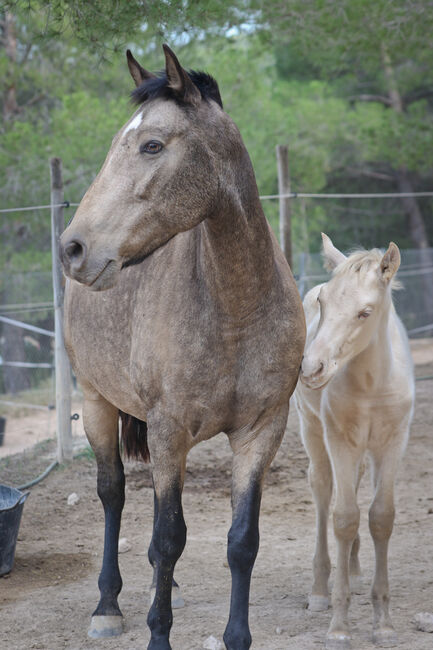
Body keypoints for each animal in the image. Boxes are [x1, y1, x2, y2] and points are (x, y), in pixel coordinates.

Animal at [60, 45, 304, 648]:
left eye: (152, 144)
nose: (73, 248)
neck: (235, 309)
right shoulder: (169, 430)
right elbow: (169, 537)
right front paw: (157, 634)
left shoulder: (262, 432)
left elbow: (240, 542)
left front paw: (236, 636)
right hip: (98, 403)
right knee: (114, 494)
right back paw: (108, 607)